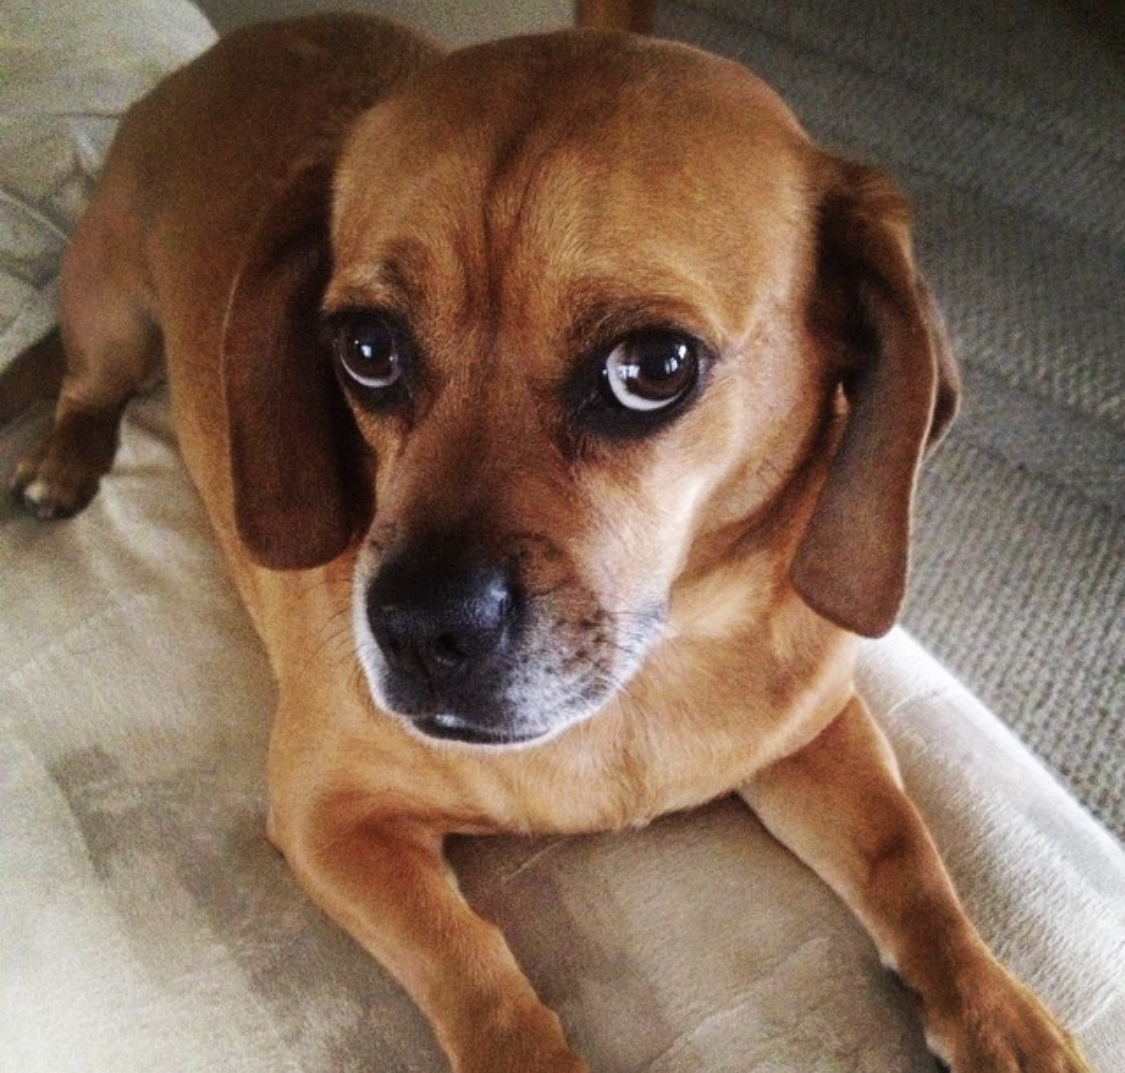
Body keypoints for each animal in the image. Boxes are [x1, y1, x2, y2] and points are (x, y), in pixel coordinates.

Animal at [2, 16, 1089, 1070]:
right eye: (366, 349)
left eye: (654, 367)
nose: (414, 632)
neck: (640, 687)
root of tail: (212, 61)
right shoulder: (328, 814)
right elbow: (476, 968)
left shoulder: (820, 734)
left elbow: (914, 867)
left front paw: (1000, 1014)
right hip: (113, 311)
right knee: (86, 385)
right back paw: (62, 458)